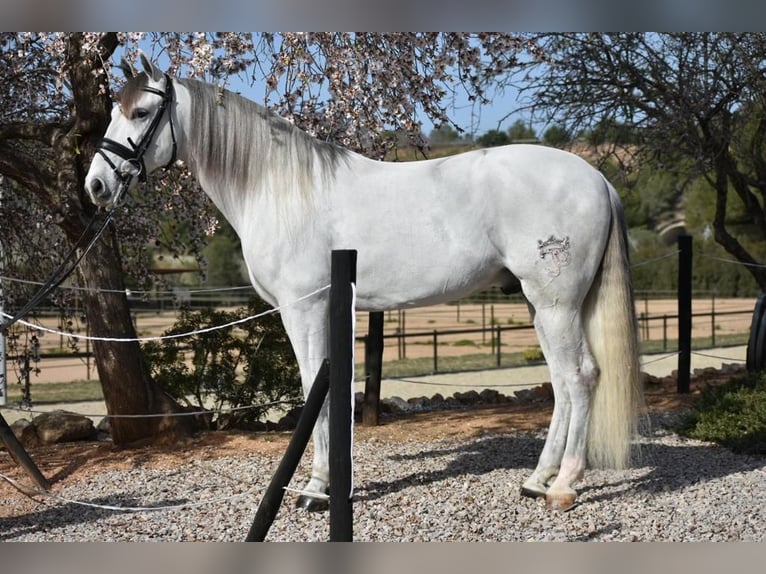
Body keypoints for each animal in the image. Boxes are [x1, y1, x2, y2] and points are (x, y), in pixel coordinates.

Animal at [87, 55, 644, 512]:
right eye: (115, 111)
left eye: (142, 113)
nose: (96, 185)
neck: (279, 187)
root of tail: (597, 178)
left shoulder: (303, 308)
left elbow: (313, 390)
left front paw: (315, 490)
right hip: (541, 304)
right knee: (562, 382)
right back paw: (536, 479)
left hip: (556, 303)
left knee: (580, 377)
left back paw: (564, 486)